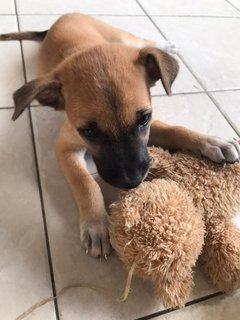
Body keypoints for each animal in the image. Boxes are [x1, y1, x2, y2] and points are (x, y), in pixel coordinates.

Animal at [0, 13, 239, 258]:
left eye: (144, 118)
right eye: (89, 131)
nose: (131, 181)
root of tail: (64, 16)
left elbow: (176, 129)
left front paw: (211, 142)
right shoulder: (65, 147)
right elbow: (85, 181)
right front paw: (96, 223)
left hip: (120, 37)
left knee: (141, 42)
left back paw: (166, 46)